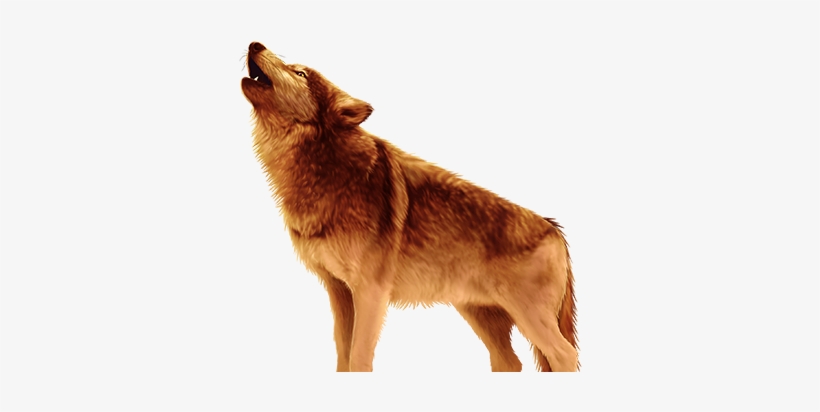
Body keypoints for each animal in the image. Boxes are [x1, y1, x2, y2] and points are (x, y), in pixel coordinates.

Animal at [240, 41, 578, 372]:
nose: (255, 44)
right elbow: (342, 356)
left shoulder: (370, 291)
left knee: (566, 354)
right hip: (479, 315)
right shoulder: (338, 290)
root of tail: (555, 230)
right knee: (509, 361)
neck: (327, 166)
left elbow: (359, 358)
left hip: (528, 318)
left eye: (300, 73)